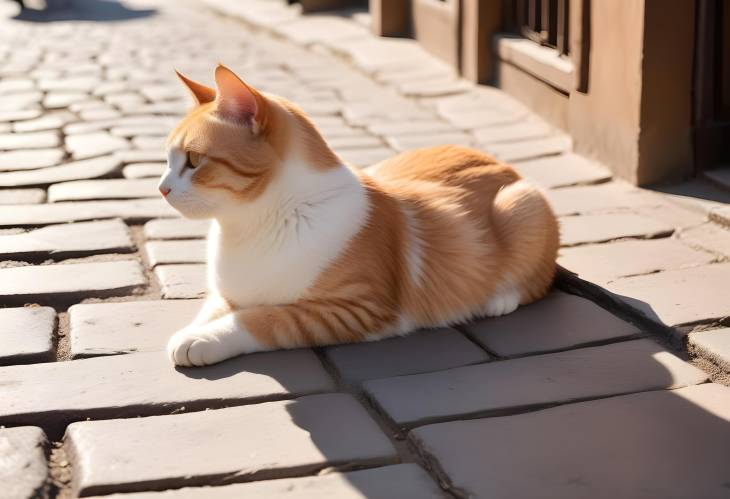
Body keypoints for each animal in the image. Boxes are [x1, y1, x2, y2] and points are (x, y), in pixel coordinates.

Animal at [158, 64, 556, 366]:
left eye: (193, 160)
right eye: (167, 160)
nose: (161, 189)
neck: (249, 226)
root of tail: (503, 165)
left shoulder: (355, 308)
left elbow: (261, 318)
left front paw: (204, 339)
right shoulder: (227, 294)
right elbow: (213, 308)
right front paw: (192, 331)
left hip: (523, 203)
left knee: (537, 282)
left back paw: (498, 299)